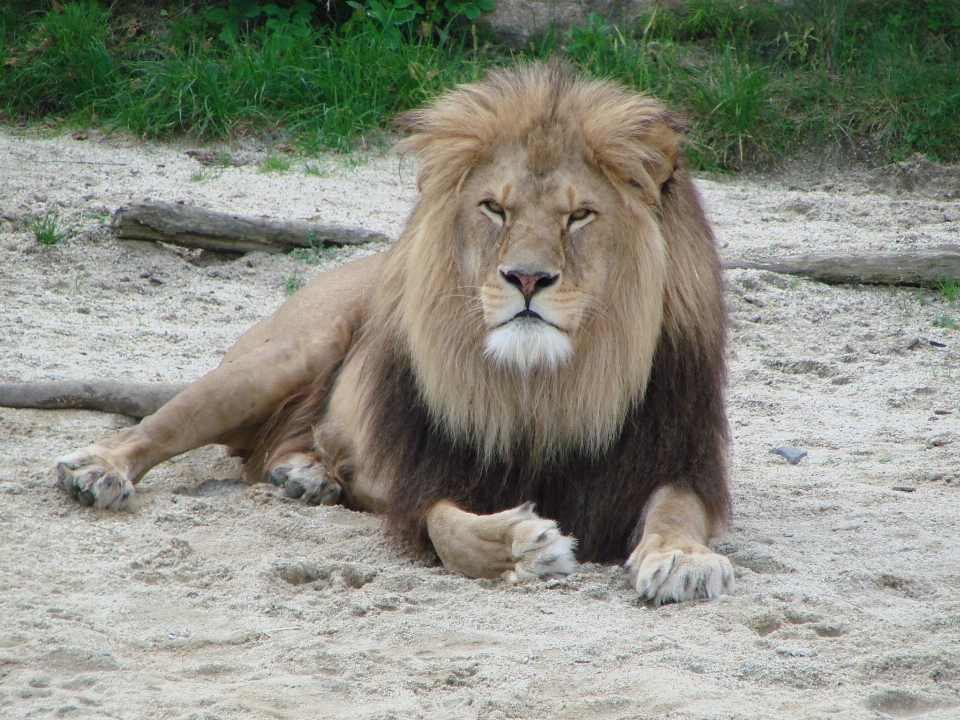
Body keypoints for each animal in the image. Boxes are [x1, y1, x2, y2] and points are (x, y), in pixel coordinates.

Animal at [56, 62, 736, 604]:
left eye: (580, 216)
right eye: (495, 208)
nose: (526, 278)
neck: (546, 386)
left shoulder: (676, 456)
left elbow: (676, 510)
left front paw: (680, 558)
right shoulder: (425, 471)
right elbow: (447, 529)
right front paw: (523, 545)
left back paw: (305, 475)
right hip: (284, 356)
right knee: (163, 424)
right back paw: (98, 469)